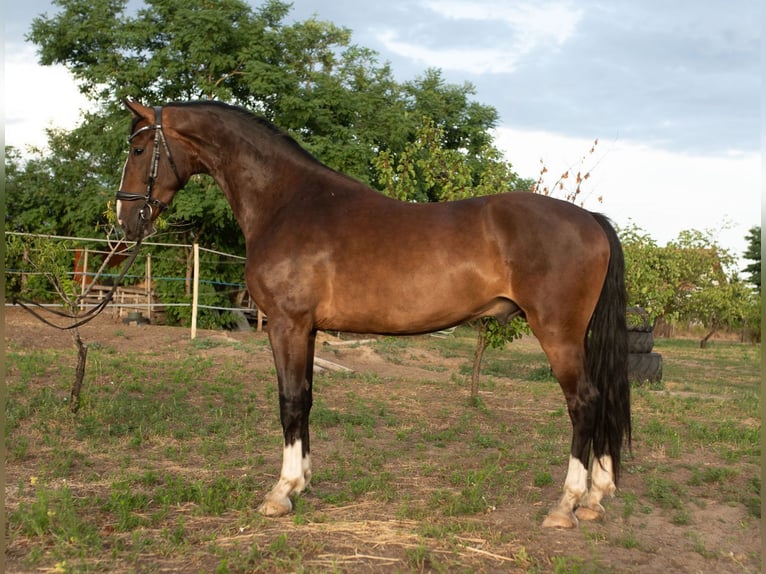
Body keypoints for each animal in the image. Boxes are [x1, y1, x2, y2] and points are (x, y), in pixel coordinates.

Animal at [116, 100, 630, 529]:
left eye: (139, 148)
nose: (125, 220)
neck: (286, 201)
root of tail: (590, 220)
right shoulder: (308, 331)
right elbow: (307, 398)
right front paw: (302, 483)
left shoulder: (287, 325)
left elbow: (289, 402)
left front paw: (280, 492)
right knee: (602, 398)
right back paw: (595, 497)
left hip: (558, 333)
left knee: (584, 402)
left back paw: (566, 504)